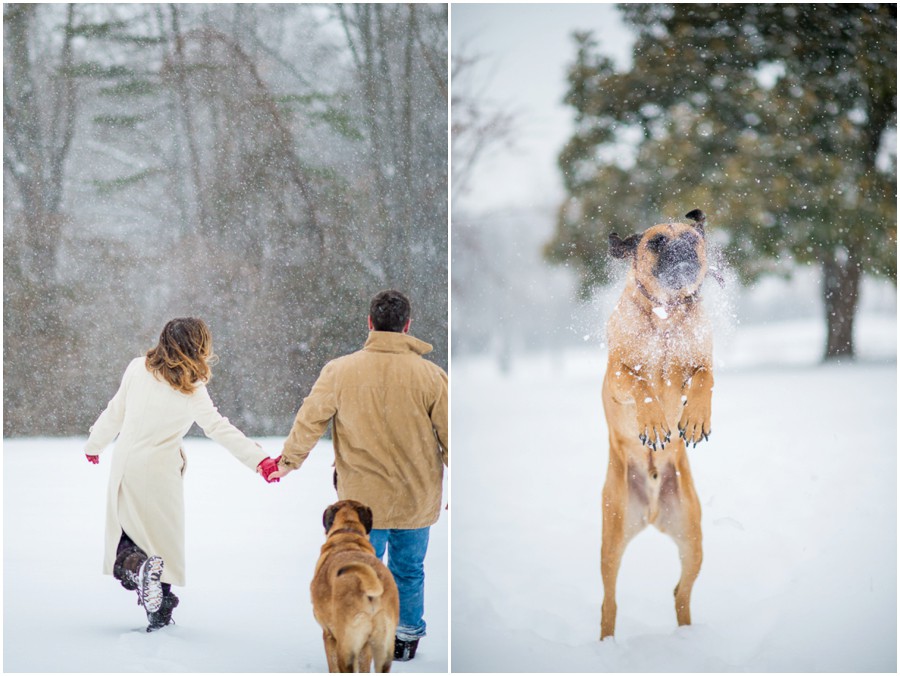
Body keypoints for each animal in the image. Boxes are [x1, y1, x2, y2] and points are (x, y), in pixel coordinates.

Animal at [312, 496, 400, 672]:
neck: (348, 531)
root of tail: (370, 586)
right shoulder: (365, 647)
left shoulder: (329, 635)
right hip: (383, 647)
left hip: (346, 647)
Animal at [600, 210, 712, 640]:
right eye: (656, 242)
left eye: (693, 239)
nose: (682, 250)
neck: (667, 315)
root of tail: (649, 508)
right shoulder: (617, 374)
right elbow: (643, 384)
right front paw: (653, 422)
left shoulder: (700, 360)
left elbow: (703, 379)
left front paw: (695, 418)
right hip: (612, 537)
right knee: (609, 601)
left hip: (693, 538)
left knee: (682, 591)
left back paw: (687, 635)